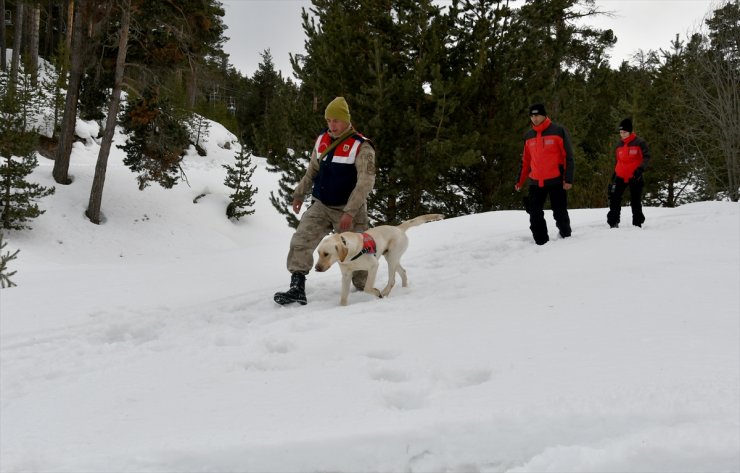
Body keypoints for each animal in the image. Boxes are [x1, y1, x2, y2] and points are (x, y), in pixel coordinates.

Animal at [314, 215, 442, 306]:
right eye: (318, 253)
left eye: (326, 254)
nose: (316, 268)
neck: (351, 255)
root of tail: (398, 228)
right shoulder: (346, 275)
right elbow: (343, 297)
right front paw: (342, 308)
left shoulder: (373, 266)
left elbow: (367, 287)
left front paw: (377, 292)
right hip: (391, 258)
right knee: (403, 272)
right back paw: (404, 288)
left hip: (392, 258)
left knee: (392, 280)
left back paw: (384, 293)